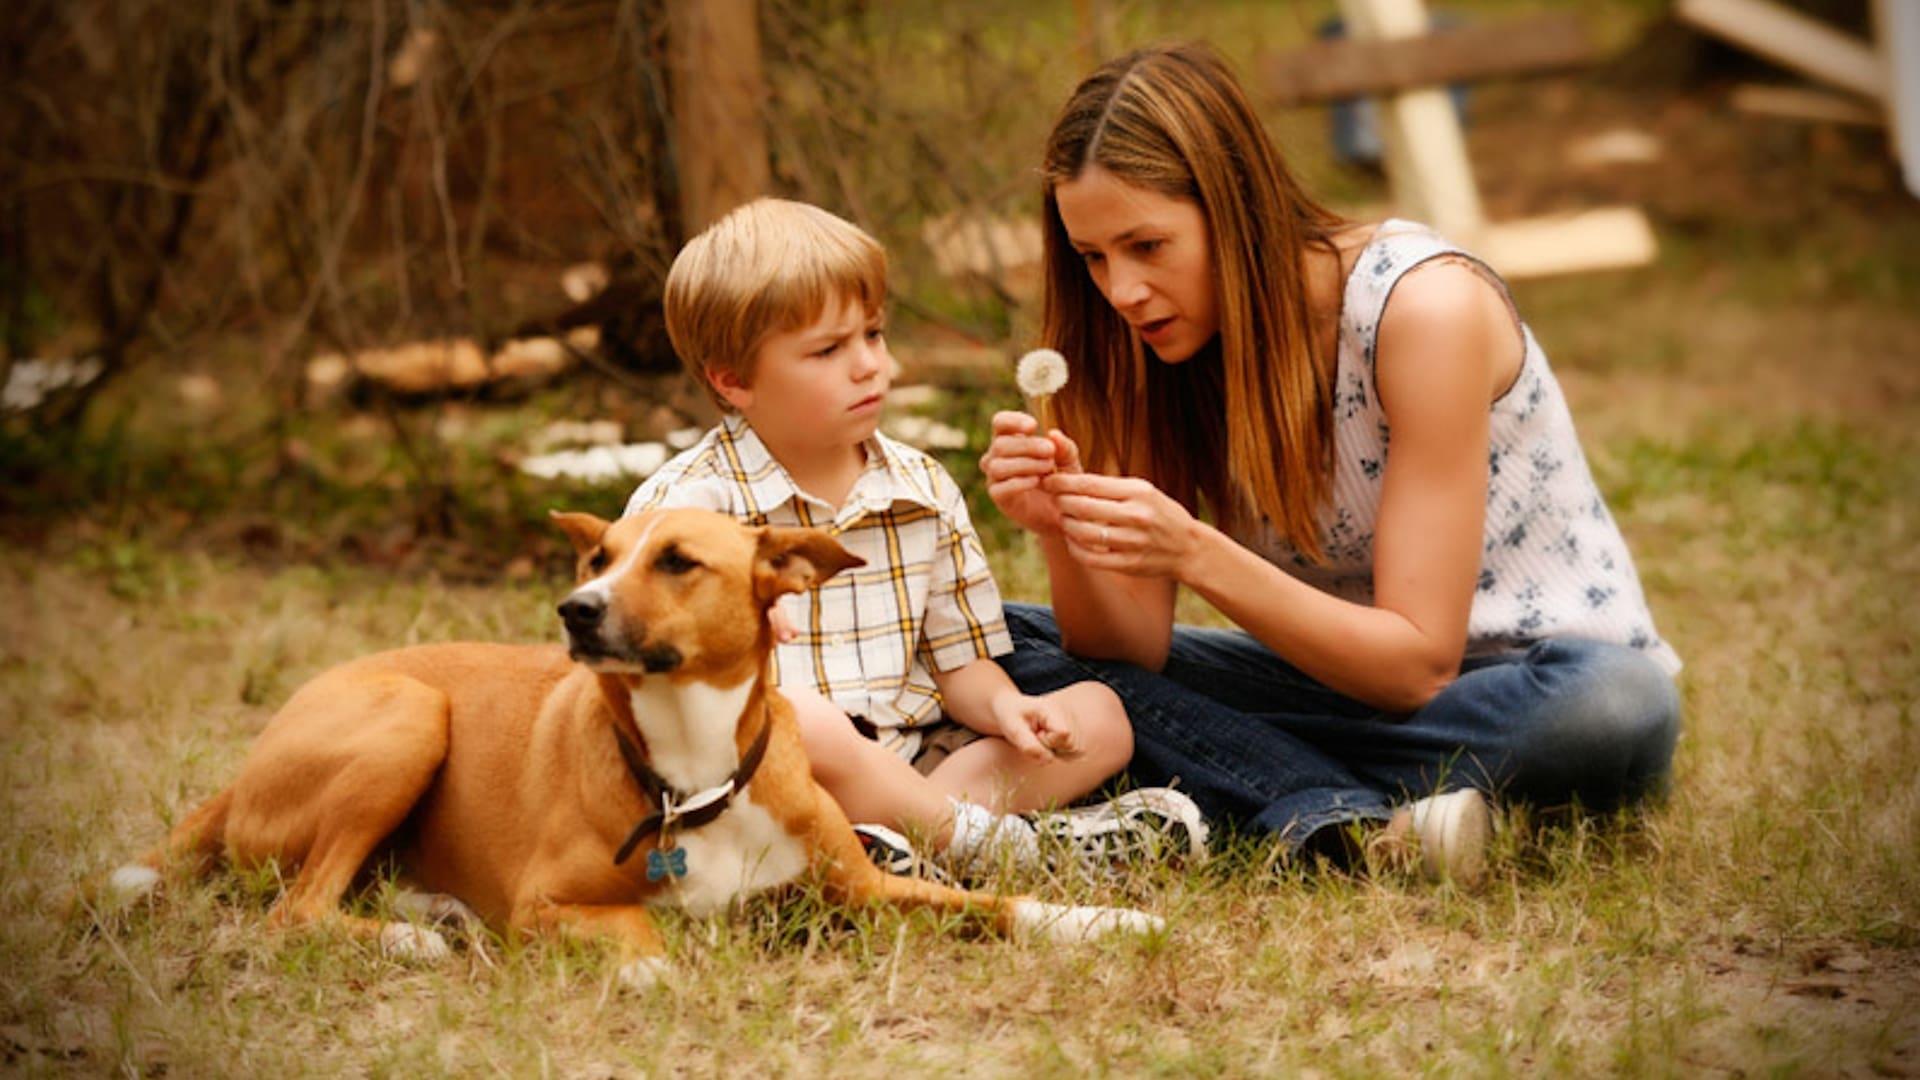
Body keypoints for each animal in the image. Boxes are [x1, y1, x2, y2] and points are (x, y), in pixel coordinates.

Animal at [112, 507, 1159, 980]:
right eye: (599, 557)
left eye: (678, 561)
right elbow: (641, 933)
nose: (575, 610)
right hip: (410, 718)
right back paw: (415, 935)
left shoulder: (864, 890)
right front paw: (657, 969)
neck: (694, 773)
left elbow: (996, 903)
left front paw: (1104, 921)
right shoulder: (549, 903)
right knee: (295, 910)